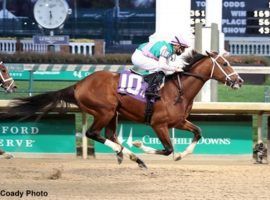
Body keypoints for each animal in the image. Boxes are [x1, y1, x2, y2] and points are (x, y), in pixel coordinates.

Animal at [1, 50, 243, 167]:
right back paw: (131, 154)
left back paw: (129, 156)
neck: (177, 90)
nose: (239, 81)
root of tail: (79, 84)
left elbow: (198, 133)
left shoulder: (179, 121)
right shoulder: (158, 124)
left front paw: (181, 156)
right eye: (225, 64)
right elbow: (167, 149)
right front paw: (140, 144)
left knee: (109, 135)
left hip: (113, 113)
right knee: (93, 133)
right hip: (104, 111)